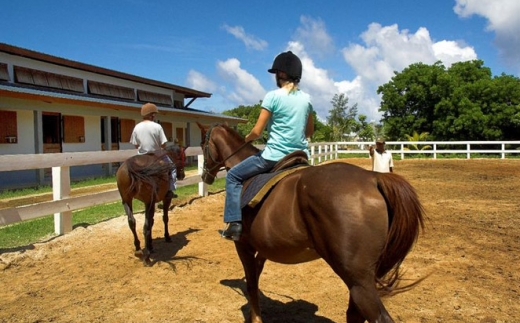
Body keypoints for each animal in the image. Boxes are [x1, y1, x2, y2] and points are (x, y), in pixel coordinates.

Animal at [197, 124, 424, 323]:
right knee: (354, 314)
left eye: (202, 145)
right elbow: (255, 280)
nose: (205, 175)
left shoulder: (243, 245)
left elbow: (252, 285)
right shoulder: (262, 249)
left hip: (358, 278)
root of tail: (373, 178)